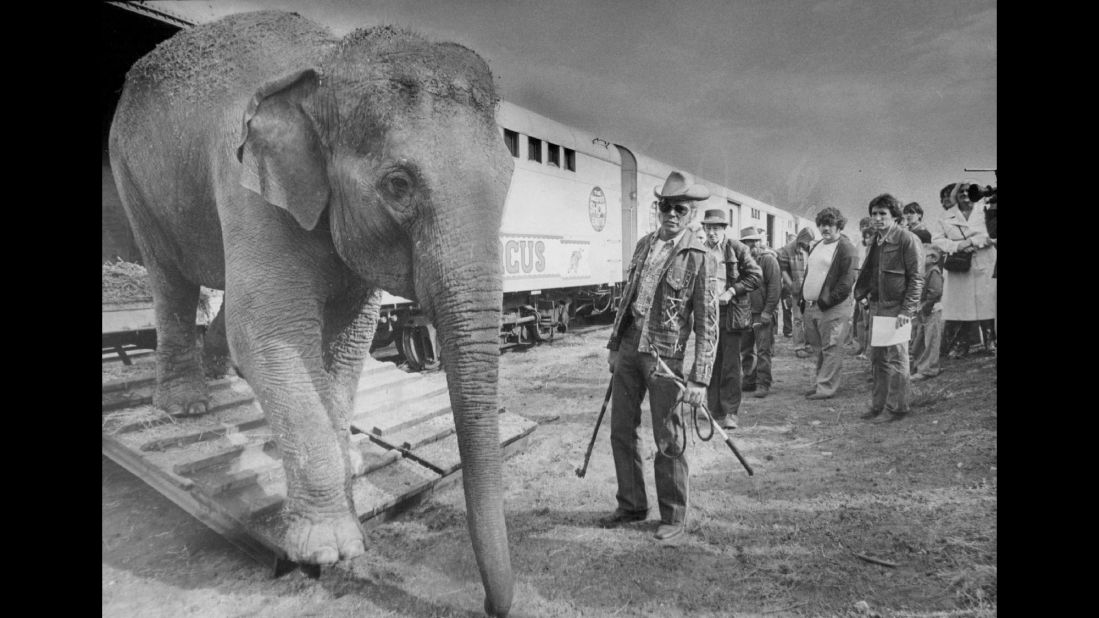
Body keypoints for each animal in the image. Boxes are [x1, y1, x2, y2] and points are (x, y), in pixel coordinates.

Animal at [111, 10, 518, 615]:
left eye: (511, 177)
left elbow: (349, 337)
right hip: (132, 177)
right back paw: (185, 404)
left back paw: (222, 375)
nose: (492, 606)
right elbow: (268, 333)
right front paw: (329, 549)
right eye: (399, 184)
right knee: (170, 279)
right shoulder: (246, 186)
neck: (327, 65)